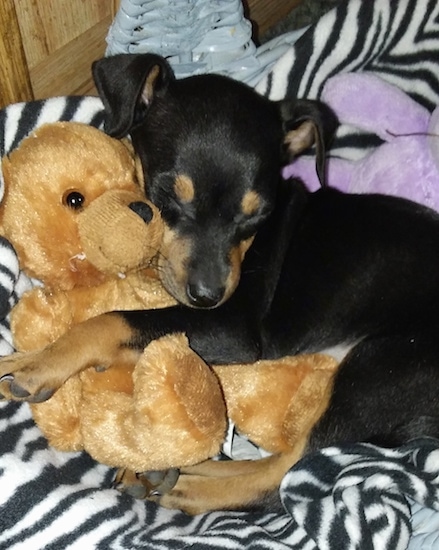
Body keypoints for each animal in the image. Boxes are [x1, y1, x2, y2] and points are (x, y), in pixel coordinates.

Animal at [0, 54, 439, 516]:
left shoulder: (234, 328)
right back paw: (161, 471)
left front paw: (36, 364)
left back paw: (183, 490)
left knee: (284, 477)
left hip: (379, 371)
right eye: (168, 194)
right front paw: (30, 355)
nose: (207, 297)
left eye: (257, 213)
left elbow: (113, 320)